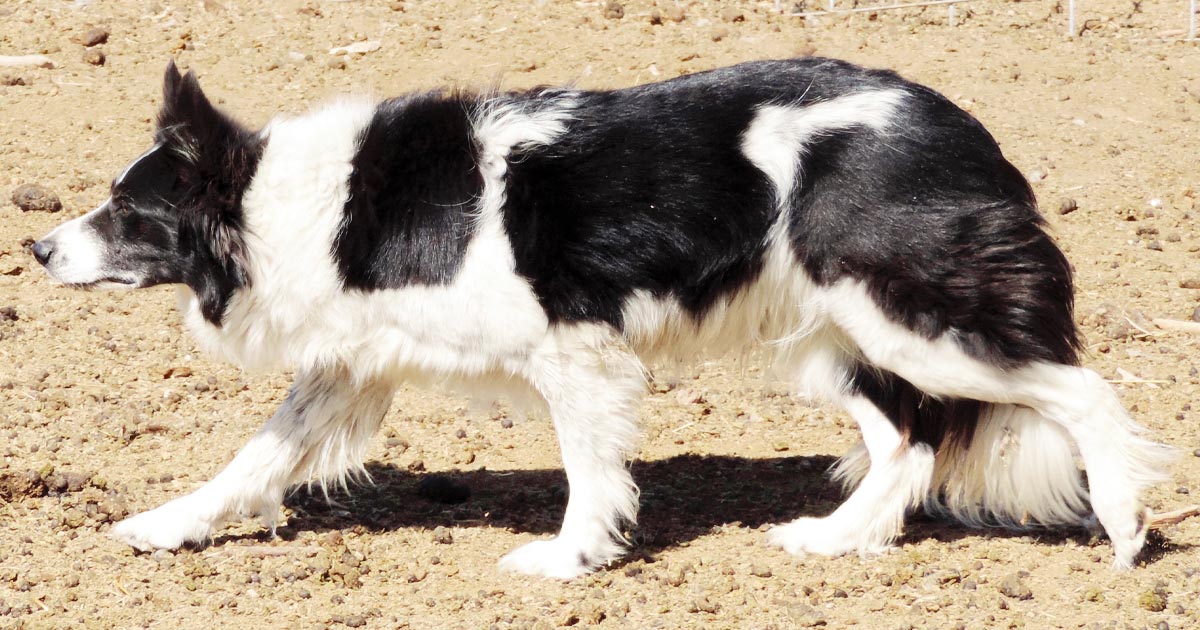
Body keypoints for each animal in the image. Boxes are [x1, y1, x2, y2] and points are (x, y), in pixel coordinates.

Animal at [32, 57, 1166, 573]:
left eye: (128, 212)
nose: (38, 249)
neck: (296, 203)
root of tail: (957, 122)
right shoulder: (352, 364)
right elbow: (253, 457)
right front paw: (165, 526)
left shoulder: (570, 349)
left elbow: (587, 467)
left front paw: (567, 560)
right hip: (838, 333)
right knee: (910, 441)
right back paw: (838, 540)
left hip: (911, 316)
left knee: (1082, 393)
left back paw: (1120, 528)